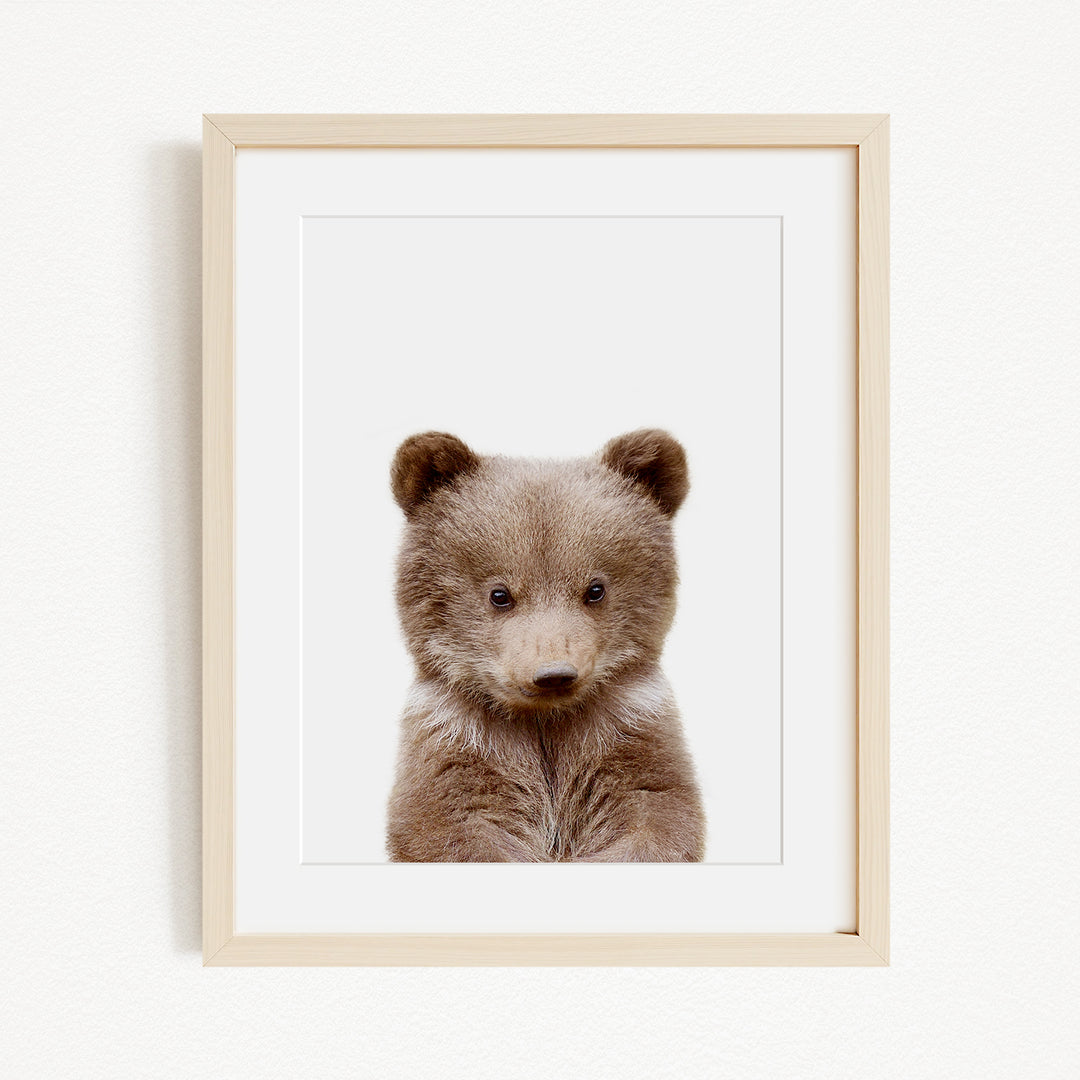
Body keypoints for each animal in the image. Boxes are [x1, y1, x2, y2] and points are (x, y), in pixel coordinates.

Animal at [384, 429, 706, 862]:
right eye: (499, 594)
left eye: (596, 589)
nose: (554, 674)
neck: (544, 720)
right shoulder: (457, 741)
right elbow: (449, 825)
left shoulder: (628, 732)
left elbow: (657, 812)